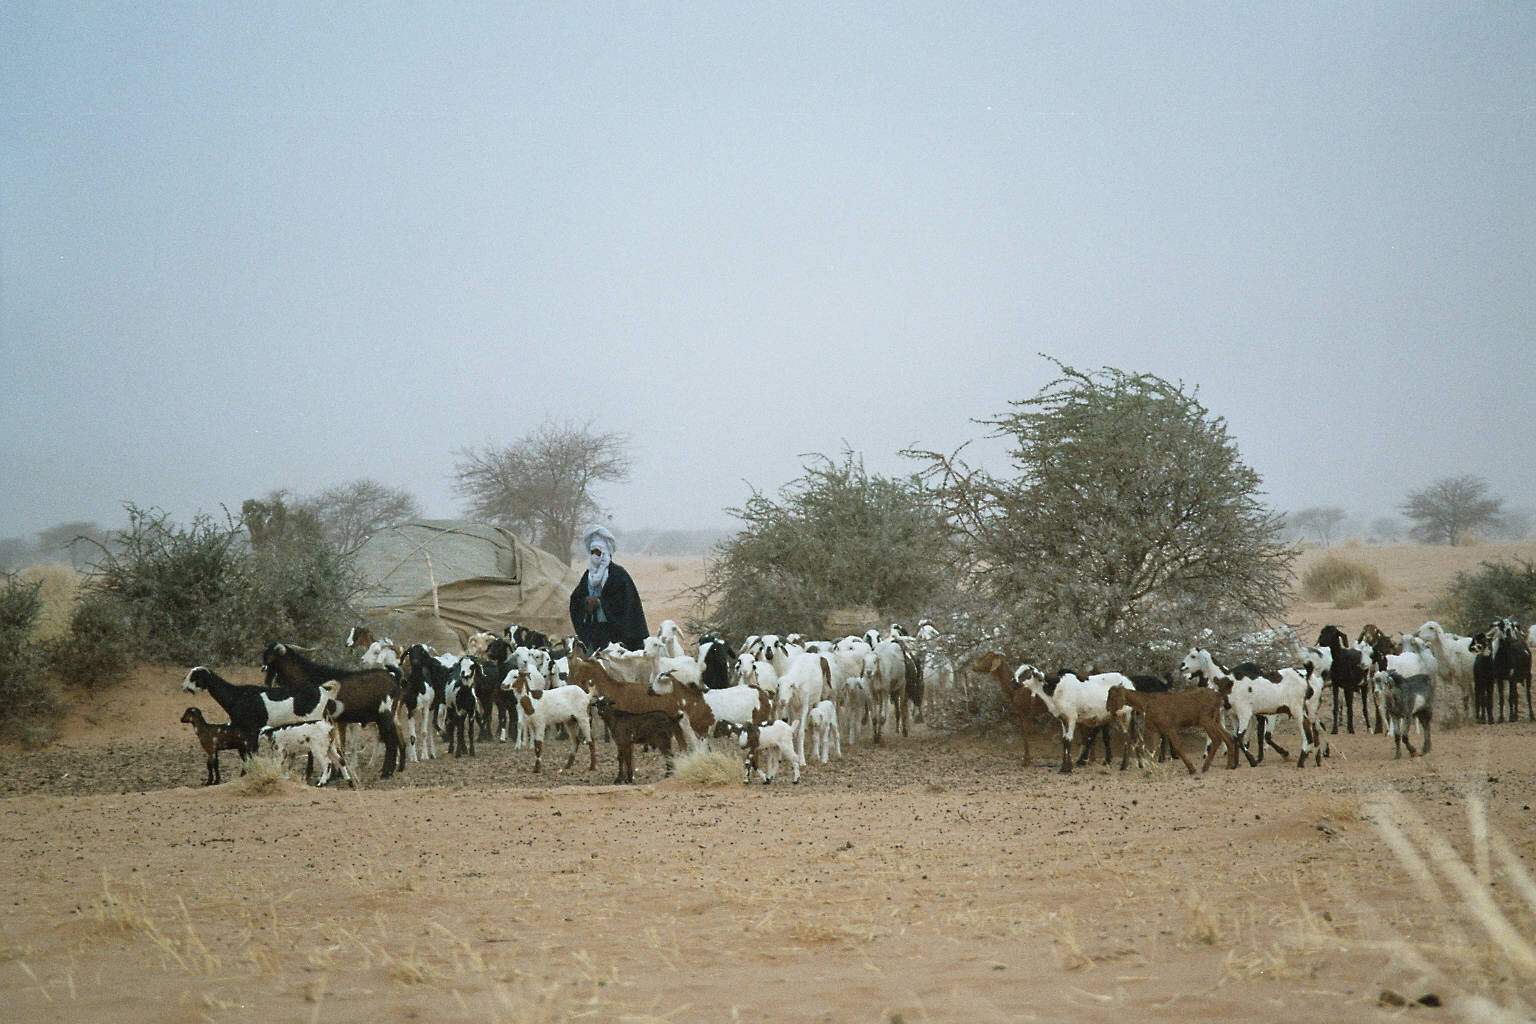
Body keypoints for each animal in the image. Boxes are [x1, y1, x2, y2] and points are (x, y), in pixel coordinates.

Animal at [1105, 684, 1234, 773]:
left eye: (1112, 696)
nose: (1107, 708)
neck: (1146, 703)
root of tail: (1217, 696)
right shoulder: (1155, 730)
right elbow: (1153, 749)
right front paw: (1151, 769)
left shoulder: (1169, 728)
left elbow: (1177, 747)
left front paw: (1191, 768)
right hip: (1215, 719)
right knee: (1227, 736)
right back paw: (1228, 765)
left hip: (1206, 720)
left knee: (1217, 739)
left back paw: (1205, 767)